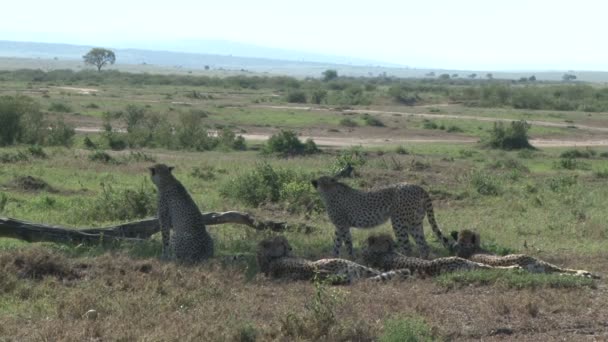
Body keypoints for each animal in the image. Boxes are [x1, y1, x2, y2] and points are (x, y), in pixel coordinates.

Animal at [312, 175, 454, 258]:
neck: (328, 190)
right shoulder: (341, 226)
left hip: (398, 222)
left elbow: (345, 244)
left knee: (407, 247)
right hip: (415, 223)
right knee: (423, 246)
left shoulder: (342, 225)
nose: (312, 181)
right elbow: (338, 244)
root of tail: (417, 186)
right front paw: (335, 259)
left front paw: (348, 259)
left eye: (319, 178)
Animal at [452, 228, 600, 280]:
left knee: (560, 271)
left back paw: (587, 274)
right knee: (560, 270)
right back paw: (586, 273)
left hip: (541, 268)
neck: (467, 249)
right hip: (540, 264)